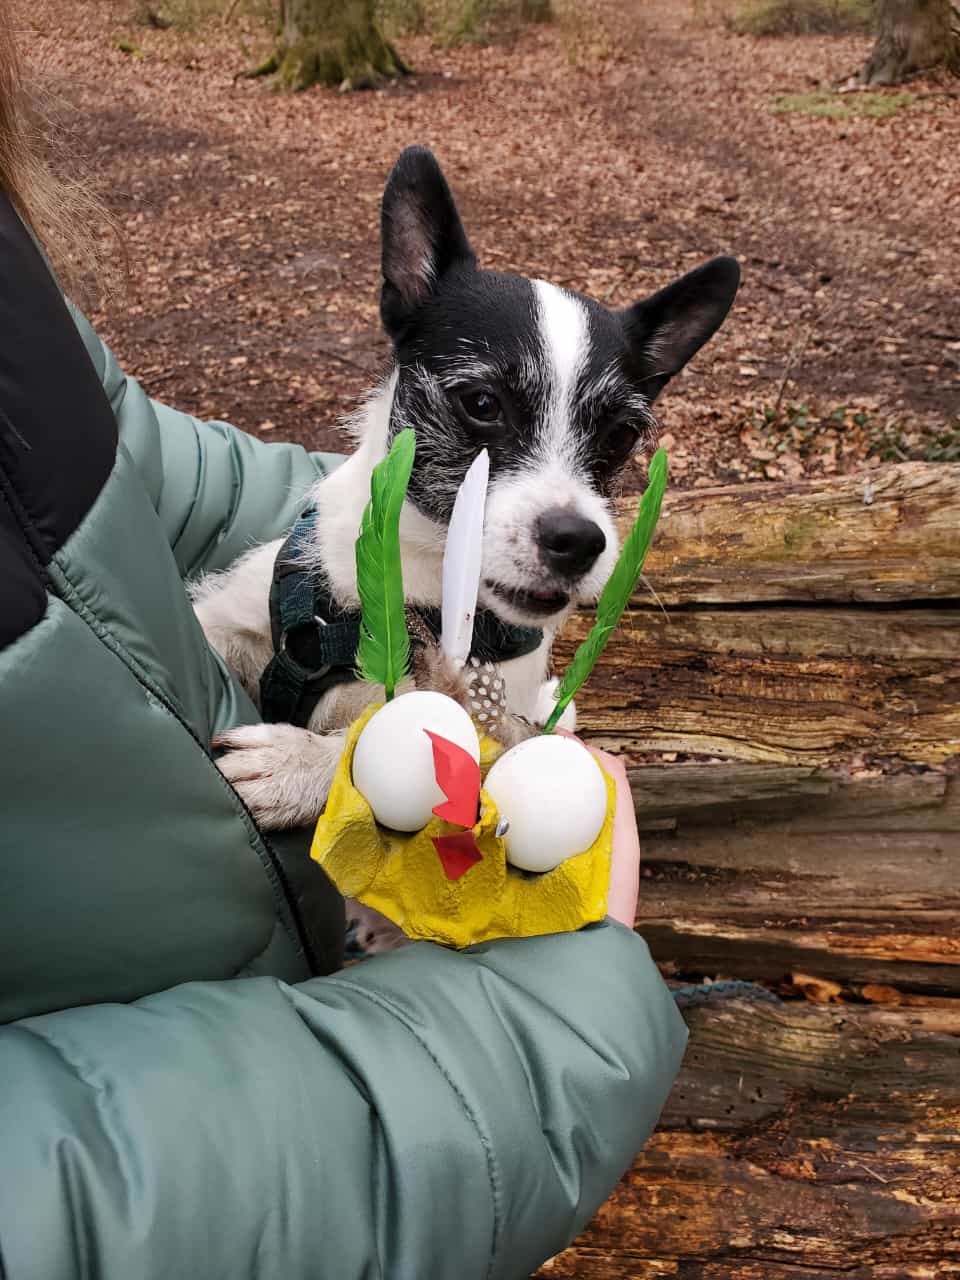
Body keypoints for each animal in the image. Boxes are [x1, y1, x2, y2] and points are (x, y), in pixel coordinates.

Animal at [193, 147, 737, 829]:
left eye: (621, 435)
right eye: (481, 403)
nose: (578, 541)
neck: (419, 589)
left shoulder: (493, 721)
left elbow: (414, 745)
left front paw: (299, 765)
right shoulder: (228, 620)